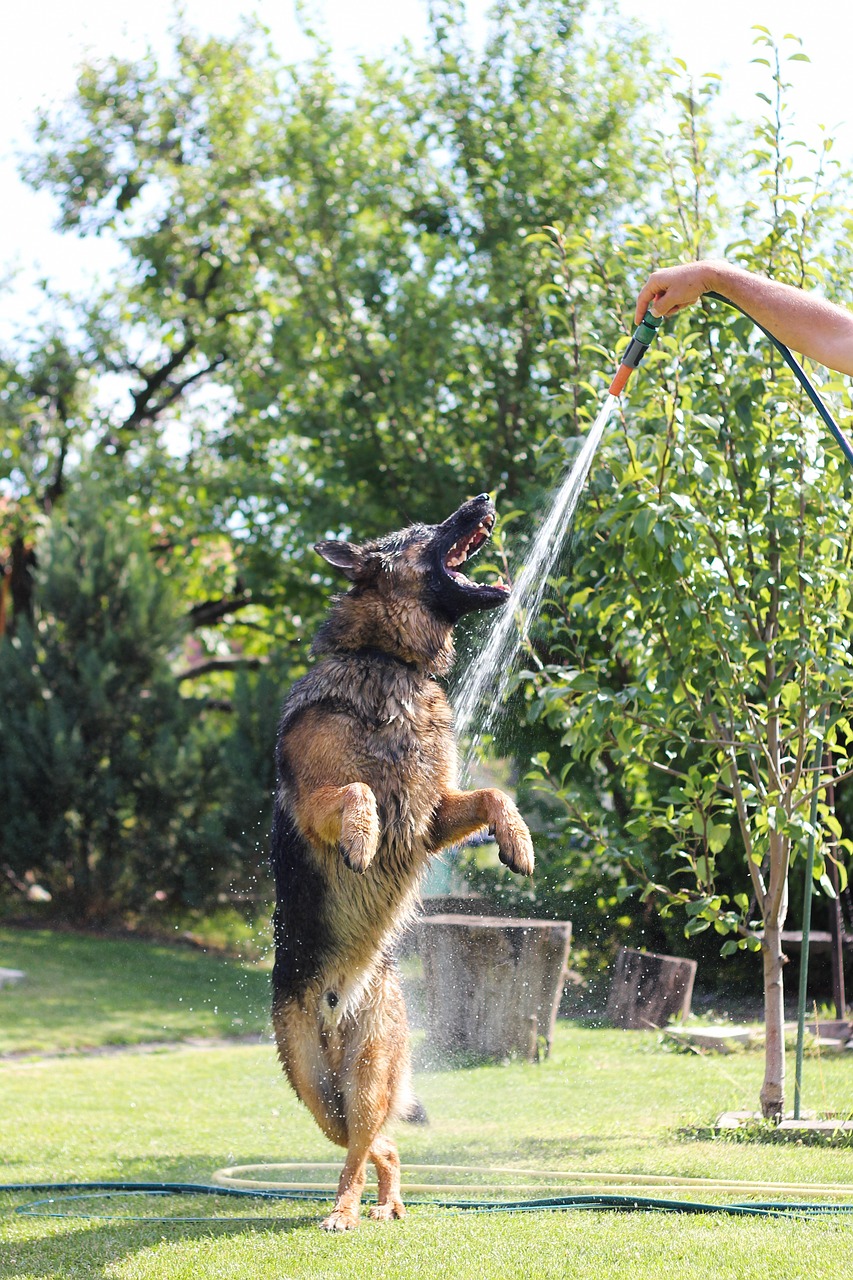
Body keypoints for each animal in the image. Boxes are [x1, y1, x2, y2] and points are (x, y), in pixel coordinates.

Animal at [268, 491, 532, 1228]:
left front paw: (518, 842)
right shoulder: (313, 802)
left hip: (362, 1077)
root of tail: (337, 1008)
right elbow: (356, 791)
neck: (390, 663)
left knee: (373, 1141)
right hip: (316, 1089)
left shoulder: (431, 818)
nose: (483, 497)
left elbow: (494, 793)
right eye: (422, 530)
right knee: (367, 1145)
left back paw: (372, 1205)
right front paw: (360, 841)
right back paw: (349, 1210)